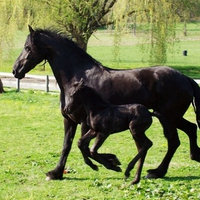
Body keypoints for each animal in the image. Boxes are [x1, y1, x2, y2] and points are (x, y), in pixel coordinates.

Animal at [13, 25, 200, 180]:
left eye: (28, 48)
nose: (15, 70)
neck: (78, 77)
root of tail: (186, 78)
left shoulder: (85, 123)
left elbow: (84, 147)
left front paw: (112, 162)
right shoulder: (69, 120)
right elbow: (67, 145)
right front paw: (56, 173)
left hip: (168, 118)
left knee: (173, 141)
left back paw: (157, 172)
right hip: (171, 117)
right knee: (191, 128)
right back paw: (193, 156)